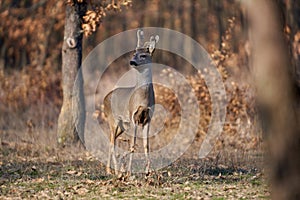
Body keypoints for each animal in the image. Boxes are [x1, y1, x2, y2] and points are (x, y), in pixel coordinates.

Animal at [103, 29, 159, 175]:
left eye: (143, 55)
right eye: (134, 53)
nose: (132, 62)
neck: (143, 100)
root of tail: (105, 98)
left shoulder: (148, 118)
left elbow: (146, 145)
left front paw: (148, 171)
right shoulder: (133, 116)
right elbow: (133, 144)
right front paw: (129, 172)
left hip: (123, 125)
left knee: (111, 140)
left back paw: (109, 169)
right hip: (113, 119)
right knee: (112, 142)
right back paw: (116, 170)